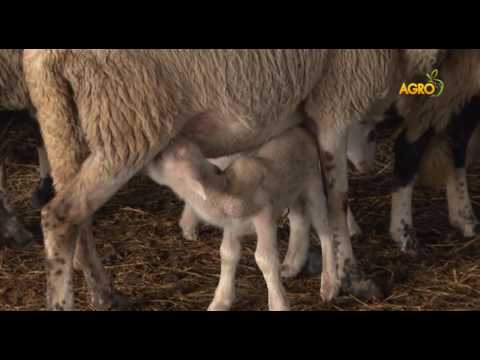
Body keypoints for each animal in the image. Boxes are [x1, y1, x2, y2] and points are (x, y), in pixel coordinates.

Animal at [23, 49, 442, 310]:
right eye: (372, 130)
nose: (369, 164)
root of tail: (45, 57)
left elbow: (303, 203)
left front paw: (298, 261)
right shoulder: (337, 96)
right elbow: (337, 198)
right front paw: (351, 277)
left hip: (64, 123)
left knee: (79, 216)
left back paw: (104, 294)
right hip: (127, 122)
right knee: (61, 216)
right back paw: (63, 300)